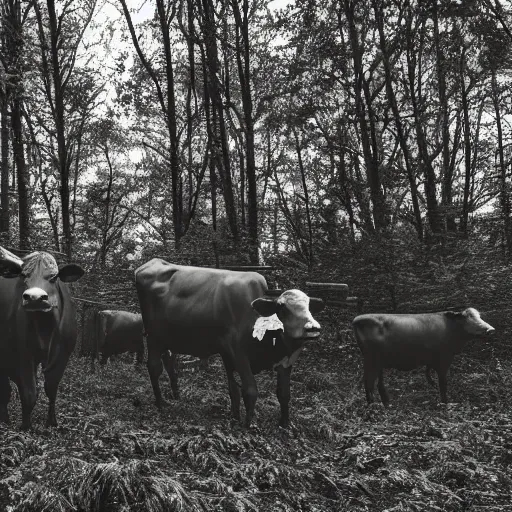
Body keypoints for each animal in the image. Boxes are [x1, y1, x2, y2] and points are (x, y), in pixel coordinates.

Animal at [0, 247, 85, 428]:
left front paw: (52, 422)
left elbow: (51, 387)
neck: (45, 328)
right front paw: (26, 426)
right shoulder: (22, 355)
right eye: (23, 275)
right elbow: (29, 393)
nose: (34, 297)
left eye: (53, 277)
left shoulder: (62, 356)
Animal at [136, 260, 324, 428]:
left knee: (169, 363)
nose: (312, 328)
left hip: (167, 338)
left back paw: (176, 395)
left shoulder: (282, 361)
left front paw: (284, 424)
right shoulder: (237, 353)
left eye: (309, 307)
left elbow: (281, 393)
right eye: (282, 308)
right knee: (154, 367)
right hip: (153, 336)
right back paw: (161, 402)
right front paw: (248, 424)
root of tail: (153, 263)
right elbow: (249, 390)